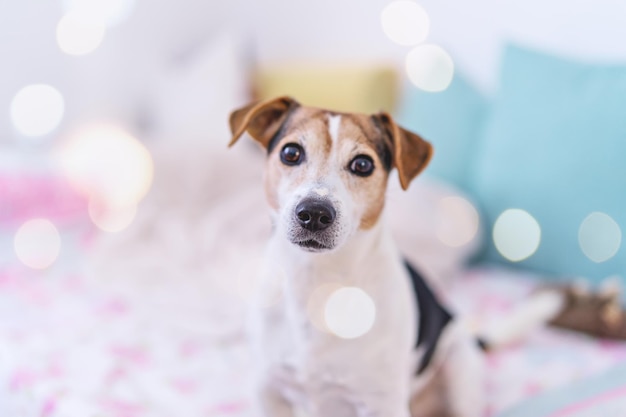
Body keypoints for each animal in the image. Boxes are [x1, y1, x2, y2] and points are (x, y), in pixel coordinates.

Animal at [227, 96, 486, 416]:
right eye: (290, 152)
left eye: (362, 164)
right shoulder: (268, 388)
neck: (317, 282)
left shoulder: (383, 405)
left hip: (460, 365)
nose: (314, 213)